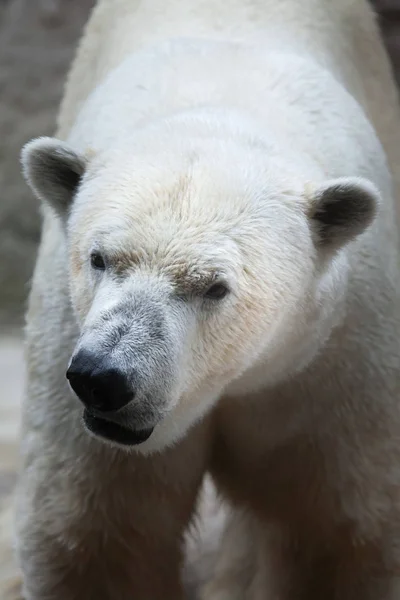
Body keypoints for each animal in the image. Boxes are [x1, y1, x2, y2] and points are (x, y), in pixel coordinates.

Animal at [2, 1, 400, 600]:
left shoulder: (332, 363)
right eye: (100, 258)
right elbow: (98, 536)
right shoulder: (68, 349)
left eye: (215, 286)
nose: (104, 378)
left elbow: (335, 532)